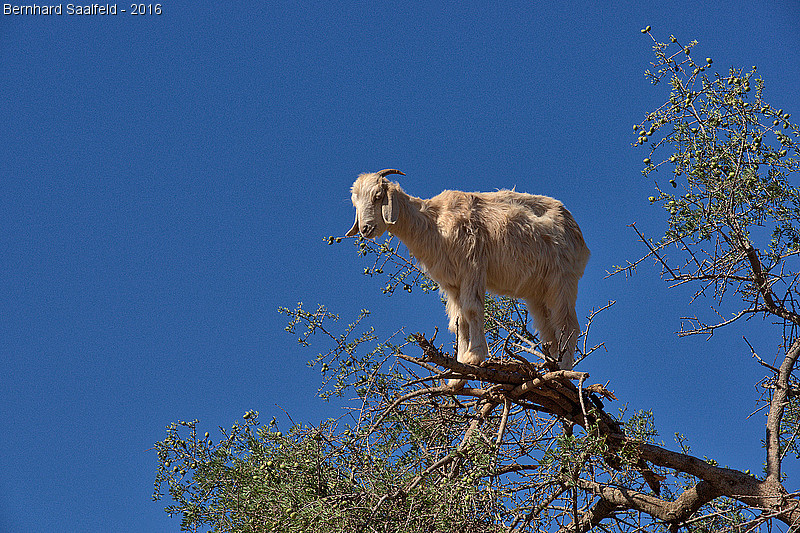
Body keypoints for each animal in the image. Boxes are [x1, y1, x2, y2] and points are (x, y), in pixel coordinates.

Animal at [346, 168, 592, 380]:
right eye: (355, 202)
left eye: (378, 196)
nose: (366, 229)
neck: (434, 222)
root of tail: (577, 232)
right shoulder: (452, 282)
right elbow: (458, 320)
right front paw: (458, 370)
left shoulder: (472, 266)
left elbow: (472, 309)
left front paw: (475, 356)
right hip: (537, 291)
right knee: (548, 331)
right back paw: (551, 368)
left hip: (562, 280)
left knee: (568, 325)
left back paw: (564, 369)